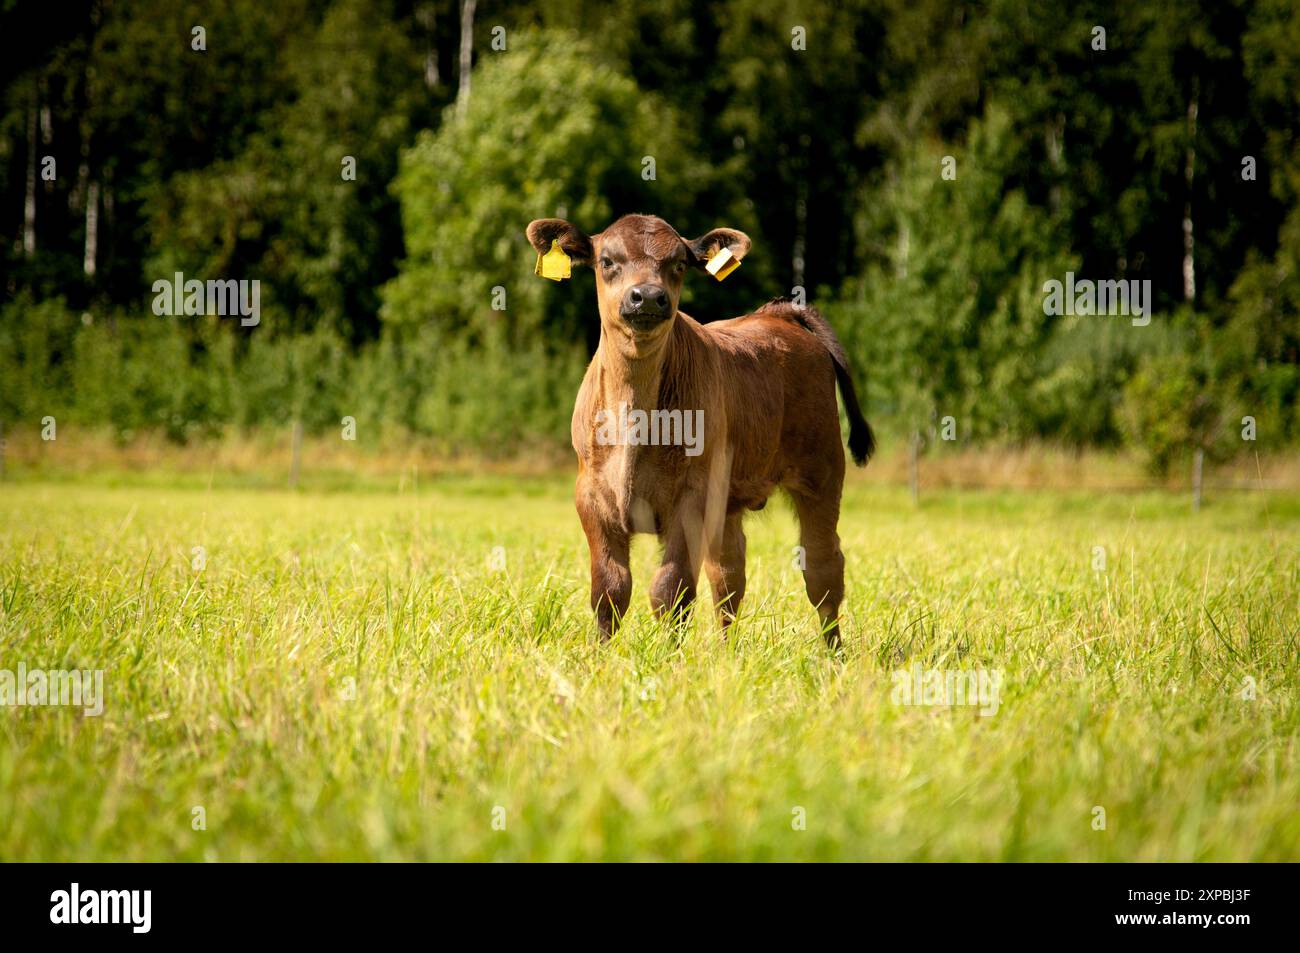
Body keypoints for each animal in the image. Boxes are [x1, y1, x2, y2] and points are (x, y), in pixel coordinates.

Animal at [526, 213, 874, 646]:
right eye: (607, 261)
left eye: (678, 264)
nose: (647, 296)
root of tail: (774, 315)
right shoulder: (591, 495)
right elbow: (609, 588)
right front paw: (602, 653)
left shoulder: (692, 497)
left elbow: (670, 589)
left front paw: (666, 655)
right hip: (729, 499)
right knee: (728, 575)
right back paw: (726, 651)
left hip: (821, 471)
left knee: (823, 568)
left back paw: (833, 652)